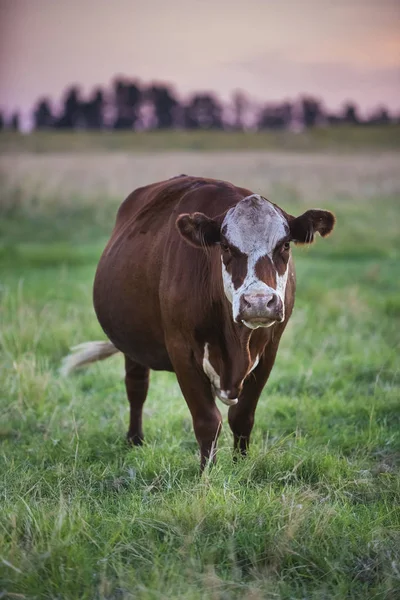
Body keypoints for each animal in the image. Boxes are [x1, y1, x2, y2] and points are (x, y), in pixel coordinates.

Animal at [62, 176, 336, 472]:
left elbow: (242, 417)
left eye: (285, 245)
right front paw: (208, 473)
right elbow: (207, 421)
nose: (259, 302)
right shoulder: (182, 351)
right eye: (225, 246)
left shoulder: (269, 350)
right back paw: (135, 440)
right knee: (136, 387)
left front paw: (240, 466)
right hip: (131, 342)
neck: (237, 343)